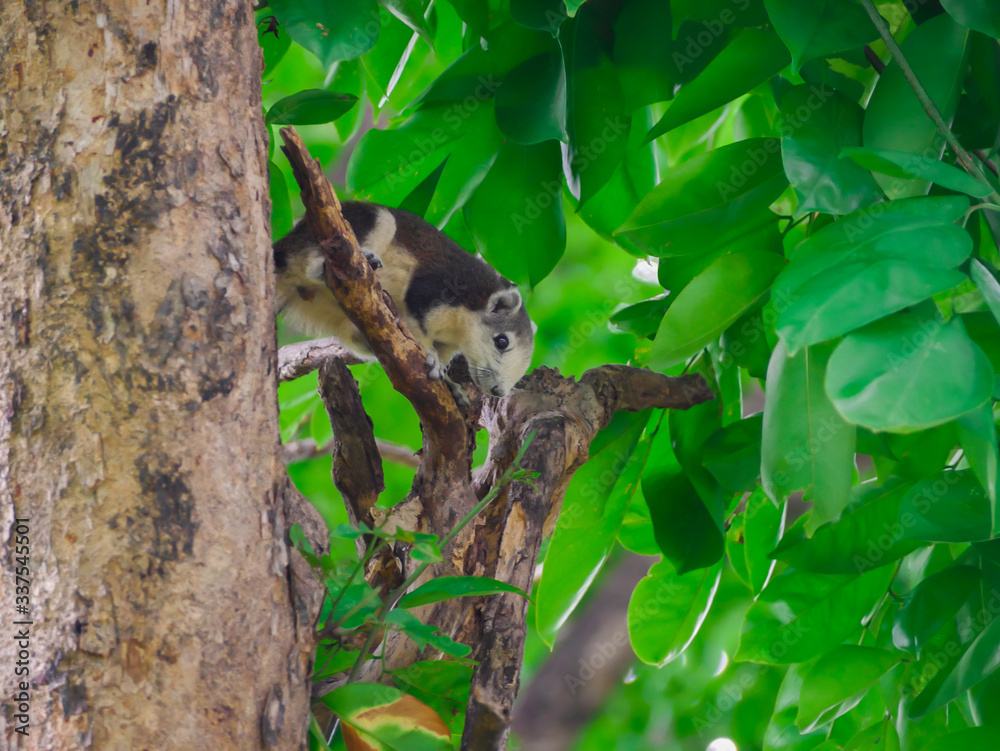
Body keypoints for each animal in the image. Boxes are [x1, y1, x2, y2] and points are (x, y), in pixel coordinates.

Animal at [273, 201, 534, 398]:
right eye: (502, 342)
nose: (499, 392)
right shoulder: (434, 291)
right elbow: (417, 329)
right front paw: (431, 357)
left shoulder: (447, 342)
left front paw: (452, 386)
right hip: (367, 224)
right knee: (311, 262)